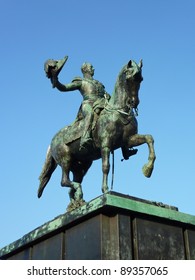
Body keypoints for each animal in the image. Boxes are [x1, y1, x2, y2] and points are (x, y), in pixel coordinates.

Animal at [38, 60, 156, 211]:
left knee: (71, 185)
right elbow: (106, 167)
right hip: (65, 159)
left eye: (140, 79)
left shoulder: (128, 140)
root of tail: (52, 140)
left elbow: (149, 138)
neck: (117, 111)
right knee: (64, 181)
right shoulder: (106, 145)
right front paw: (105, 190)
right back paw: (78, 194)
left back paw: (77, 202)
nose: (134, 102)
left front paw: (148, 169)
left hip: (82, 166)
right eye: (130, 78)